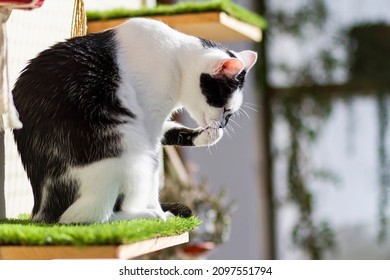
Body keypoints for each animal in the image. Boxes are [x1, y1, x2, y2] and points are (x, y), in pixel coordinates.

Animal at [12, 18, 258, 223]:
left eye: (230, 114)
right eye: (225, 108)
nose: (223, 124)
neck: (175, 55)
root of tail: (42, 209)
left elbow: (171, 130)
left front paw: (208, 136)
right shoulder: (149, 117)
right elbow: (155, 169)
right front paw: (158, 210)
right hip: (125, 149)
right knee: (86, 217)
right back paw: (149, 216)